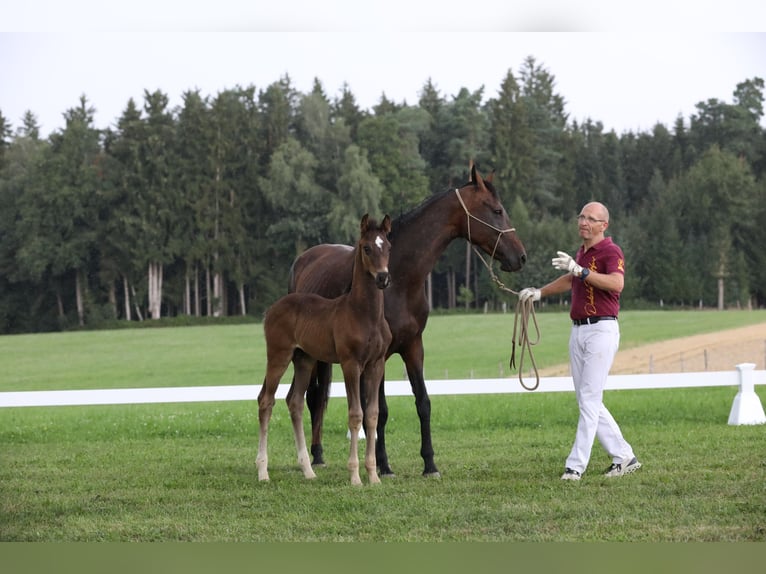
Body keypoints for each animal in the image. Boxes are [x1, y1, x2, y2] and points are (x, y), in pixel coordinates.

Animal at [258, 215, 392, 486]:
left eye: (388, 247)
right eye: (367, 248)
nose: (383, 277)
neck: (365, 314)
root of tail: (272, 309)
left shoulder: (376, 364)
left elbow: (372, 415)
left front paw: (374, 476)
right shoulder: (351, 364)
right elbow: (356, 415)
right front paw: (355, 477)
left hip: (304, 360)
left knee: (294, 402)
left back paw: (308, 470)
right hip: (278, 356)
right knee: (266, 401)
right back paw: (263, 472)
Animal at [288, 164, 528, 480]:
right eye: (497, 210)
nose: (520, 256)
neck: (399, 280)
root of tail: (304, 260)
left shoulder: (414, 347)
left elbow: (423, 402)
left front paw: (430, 464)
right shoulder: (377, 357)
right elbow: (379, 410)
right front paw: (383, 465)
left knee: (317, 400)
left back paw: (317, 454)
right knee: (313, 398)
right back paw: (315, 457)